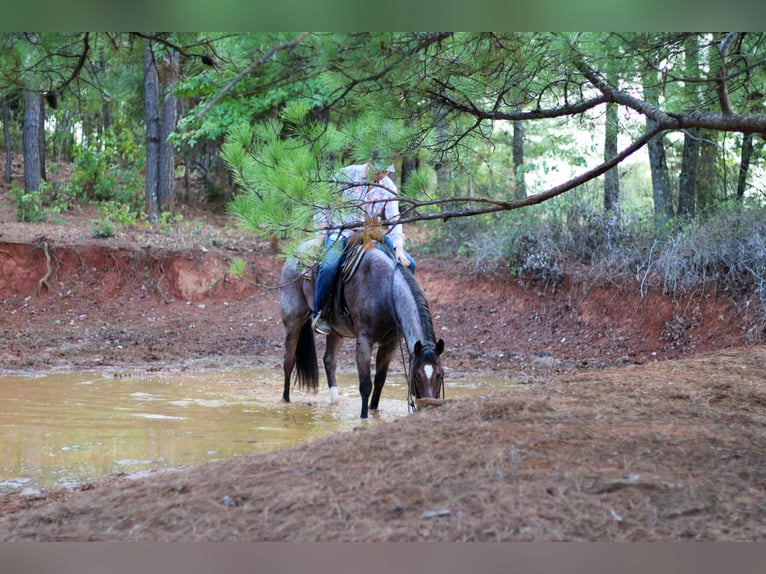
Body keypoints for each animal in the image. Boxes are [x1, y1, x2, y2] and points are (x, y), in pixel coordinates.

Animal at [280, 238, 448, 418]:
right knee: (288, 361)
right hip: (293, 321)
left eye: (440, 374)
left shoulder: (390, 343)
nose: (428, 407)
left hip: (336, 330)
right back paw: (285, 400)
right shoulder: (365, 340)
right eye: (416, 375)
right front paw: (364, 417)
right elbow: (366, 384)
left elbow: (380, 380)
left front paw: (374, 412)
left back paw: (335, 402)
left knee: (329, 361)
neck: (386, 291)